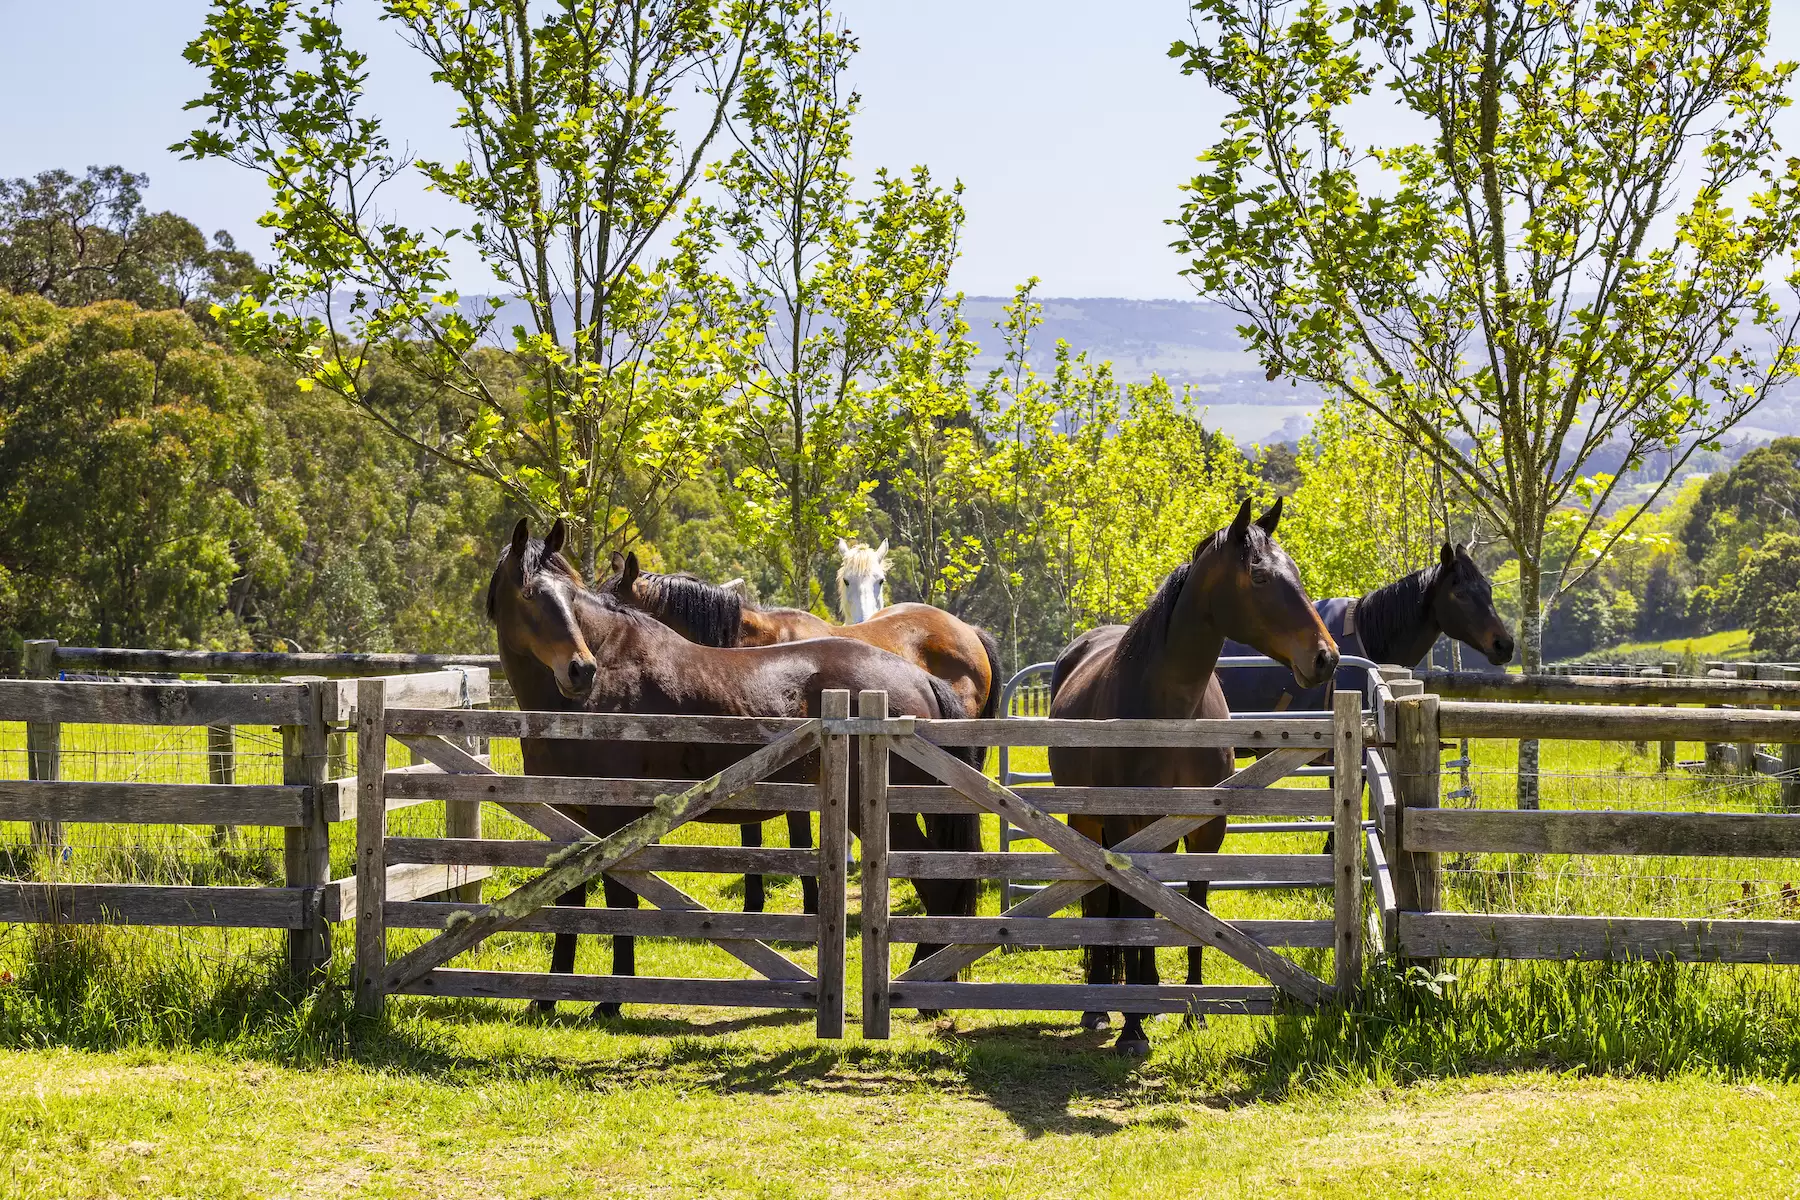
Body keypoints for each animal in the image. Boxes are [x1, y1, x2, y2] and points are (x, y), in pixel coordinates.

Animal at [1044, 496, 1339, 1057]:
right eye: (1260, 576)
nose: (1325, 657)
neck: (1171, 712)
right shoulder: (1127, 825)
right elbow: (1134, 913)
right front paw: (1133, 1030)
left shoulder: (1205, 825)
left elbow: (1195, 907)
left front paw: (1193, 1012)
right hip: (1087, 820)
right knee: (1099, 902)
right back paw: (1100, 1006)